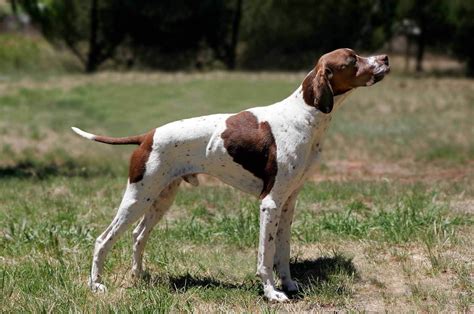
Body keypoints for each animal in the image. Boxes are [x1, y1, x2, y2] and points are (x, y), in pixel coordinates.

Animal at [71, 48, 388, 302]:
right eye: (352, 59)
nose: (385, 58)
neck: (304, 116)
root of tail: (147, 135)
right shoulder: (270, 203)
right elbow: (265, 256)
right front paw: (271, 293)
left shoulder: (288, 203)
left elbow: (283, 253)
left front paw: (288, 284)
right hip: (138, 196)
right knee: (103, 239)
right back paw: (96, 285)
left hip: (160, 197)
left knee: (138, 236)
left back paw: (139, 276)